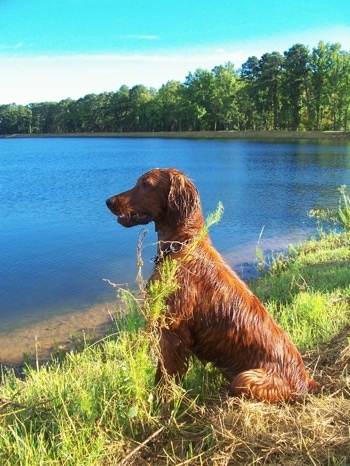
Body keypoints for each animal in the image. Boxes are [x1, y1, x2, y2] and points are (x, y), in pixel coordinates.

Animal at [105, 169, 318, 402]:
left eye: (146, 184)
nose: (108, 201)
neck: (183, 245)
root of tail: (306, 382)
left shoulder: (172, 333)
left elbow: (164, 379)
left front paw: (162, 402)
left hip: (245, 378)